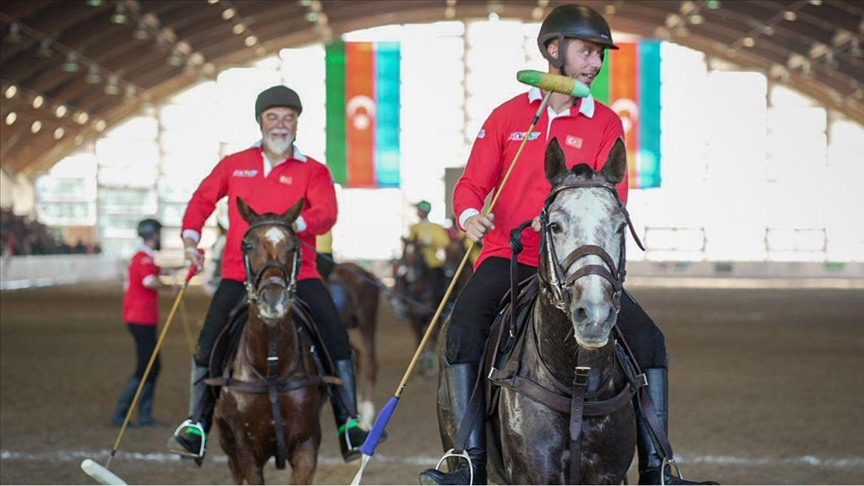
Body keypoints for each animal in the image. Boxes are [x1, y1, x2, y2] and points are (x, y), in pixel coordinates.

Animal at [213, 196, 324, 482]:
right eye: (248, 245)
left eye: (294, 247)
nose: (273, 301)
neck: (271, 366)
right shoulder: (247, 451)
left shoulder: (307, 447)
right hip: (227, 441)